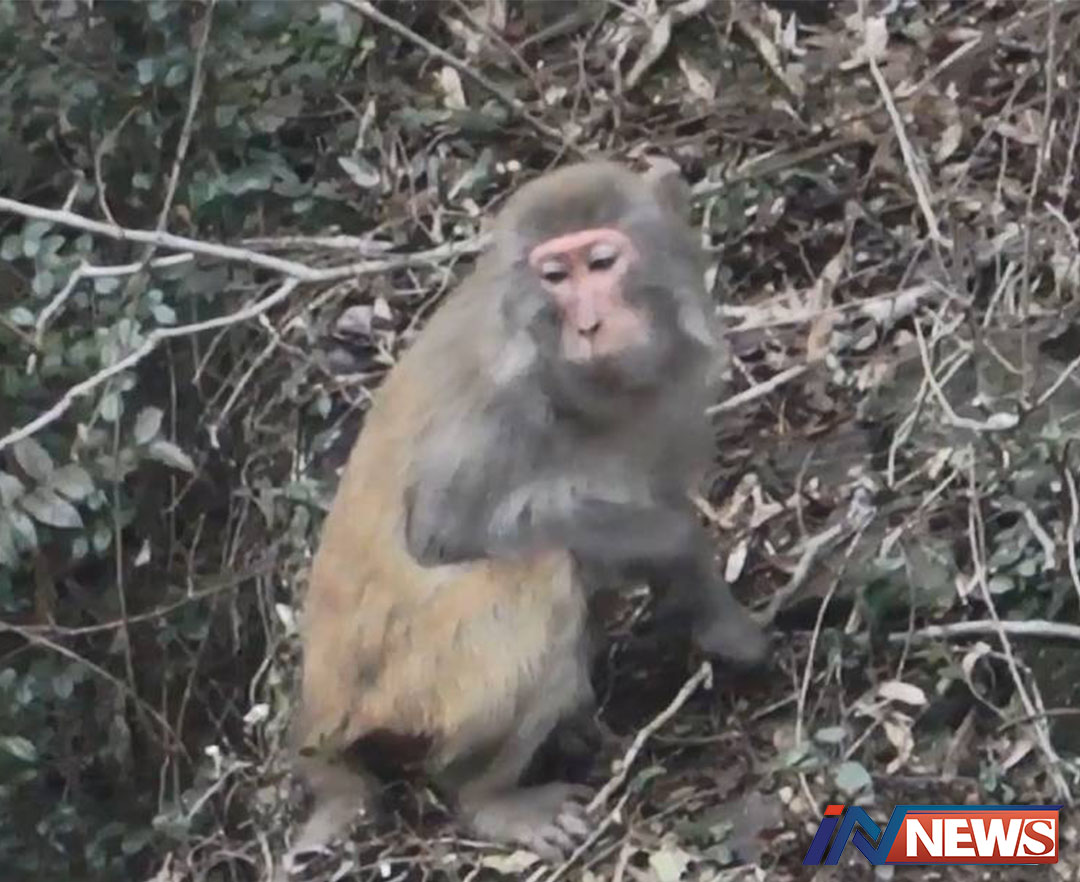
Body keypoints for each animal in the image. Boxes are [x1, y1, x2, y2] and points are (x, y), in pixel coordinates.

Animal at [292, 160, 768, 861]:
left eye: (601, 262)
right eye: (556, 277)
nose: (590, 326)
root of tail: (318, 714)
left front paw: (709, 614)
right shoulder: (500, 400)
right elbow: (443, 531)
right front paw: (685, 550)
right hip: (410, 686)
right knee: (540, 577)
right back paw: (489, 797)